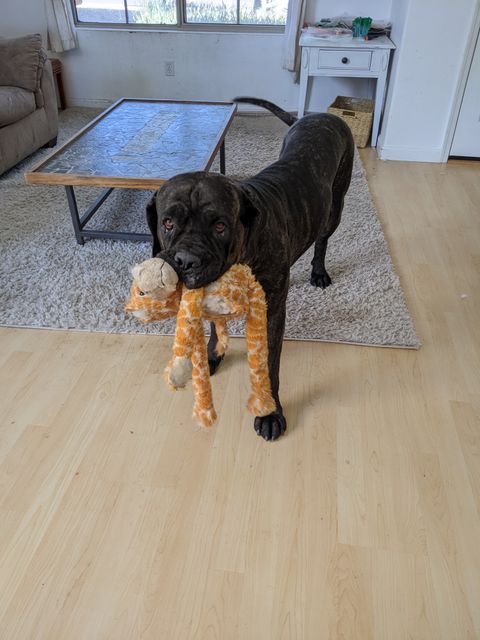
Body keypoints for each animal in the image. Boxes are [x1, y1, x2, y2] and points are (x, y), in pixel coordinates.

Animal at [146, 97, 354, 441]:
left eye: (220, 226)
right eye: (168, 222)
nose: (186, 260)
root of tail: (319, 116)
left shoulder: (271, 310)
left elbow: (269, 364)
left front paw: (270, 412)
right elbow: (214, 330)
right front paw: (212, 356)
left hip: (334, 207)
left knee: (323, 239)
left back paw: (318, 272)